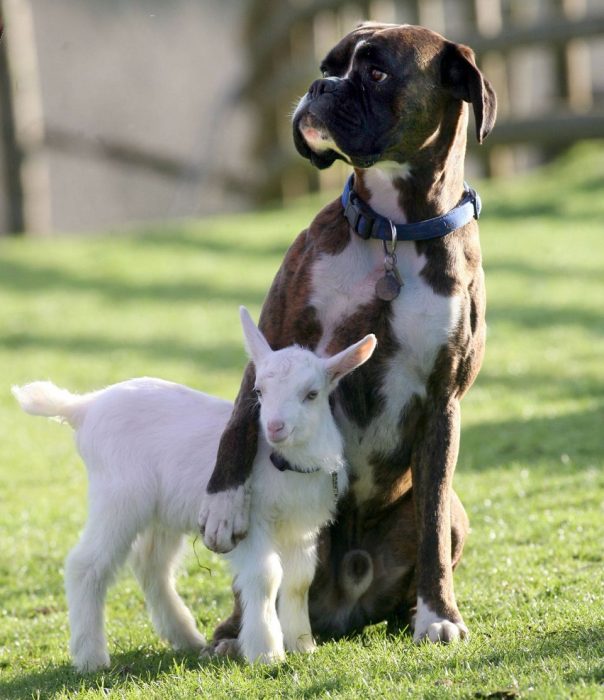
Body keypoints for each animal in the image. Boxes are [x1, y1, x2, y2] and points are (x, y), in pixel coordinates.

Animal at [198, 21, 496, 644]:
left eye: (377, 72)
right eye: (328, 66)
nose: (319, 87)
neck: (393, 231)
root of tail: (342, 606)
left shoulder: (444, 400)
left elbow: (431, 521)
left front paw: (440, 616)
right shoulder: (273, 335)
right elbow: (240, 420)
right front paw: (222, 503)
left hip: (455, 517)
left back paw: (411, 613)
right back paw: (233, 632)